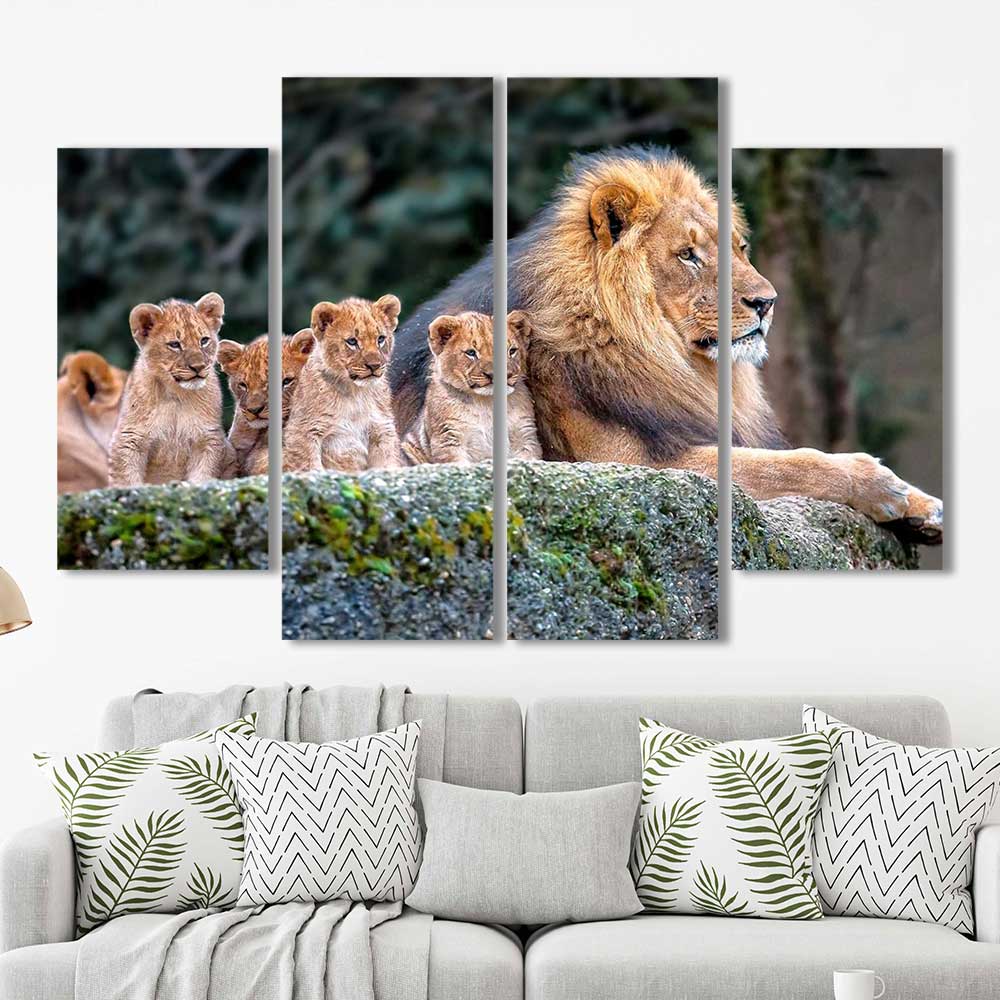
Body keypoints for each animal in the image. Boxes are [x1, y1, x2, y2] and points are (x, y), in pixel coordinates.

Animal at [108, 293, 229, 486]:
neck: (176, 395)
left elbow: (202, 474)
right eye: (175, 344)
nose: (198, 367)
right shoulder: (129, 438)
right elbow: (127, 479)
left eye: (204, 341)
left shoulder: (207, 437)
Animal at [282, 296, 402, 473]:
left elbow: (387, 463)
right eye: (352, 341)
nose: (374, 366)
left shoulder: (382, 430)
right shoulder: (303, 431)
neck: (355, 393)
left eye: (380, 339)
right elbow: (310, 466)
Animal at [390, 146, 942, 543]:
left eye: (741, 248)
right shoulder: (631, 465)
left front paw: (921, 506)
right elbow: (785, 464)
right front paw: (879, 483)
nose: (768, 302)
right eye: (689, 255)